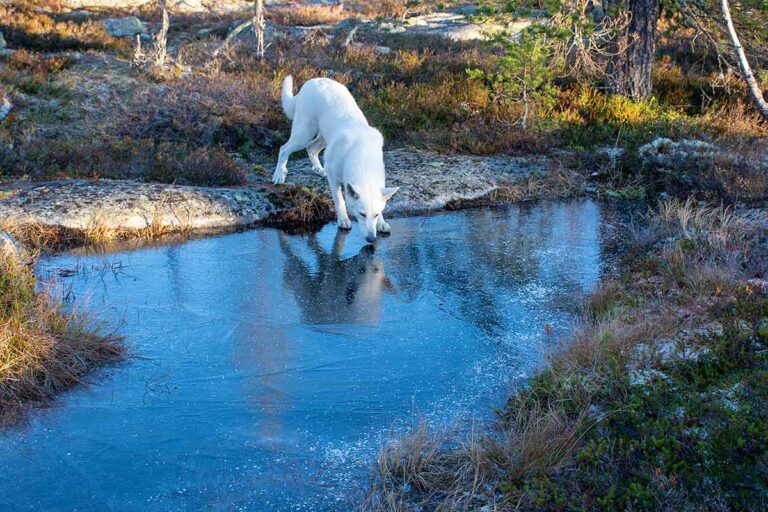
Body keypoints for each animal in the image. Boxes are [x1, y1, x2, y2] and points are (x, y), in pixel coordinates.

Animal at [272, 76, 400, 244]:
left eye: (376, 214)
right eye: (362, 214)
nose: (372, 239)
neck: (363, 161)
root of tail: (311, 81)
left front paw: (381, 223)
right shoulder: (334, 178)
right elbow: (339, 200)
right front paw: (343, 220)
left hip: (323, 137)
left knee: (311, 148)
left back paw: (318, 169)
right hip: (304, 133)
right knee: (284, 149)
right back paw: (279, 174)